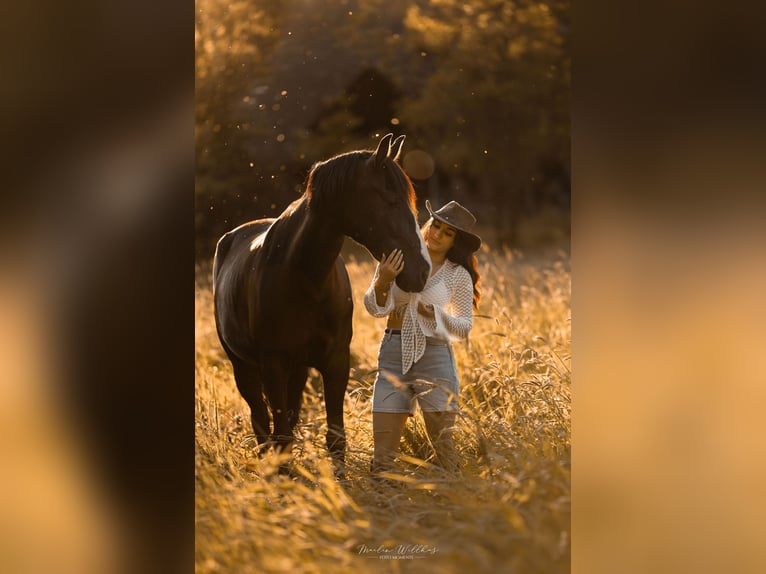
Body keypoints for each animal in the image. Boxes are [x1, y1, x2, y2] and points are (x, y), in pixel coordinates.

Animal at [213, 133, 431, 472]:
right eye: (391, 201)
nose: (422, 272)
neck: (305, 277)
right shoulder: (273, 364)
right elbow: (281, 436)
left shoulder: (336, 361)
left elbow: (334, 437)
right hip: (243, 366)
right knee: (261, 422)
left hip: (297, 370)